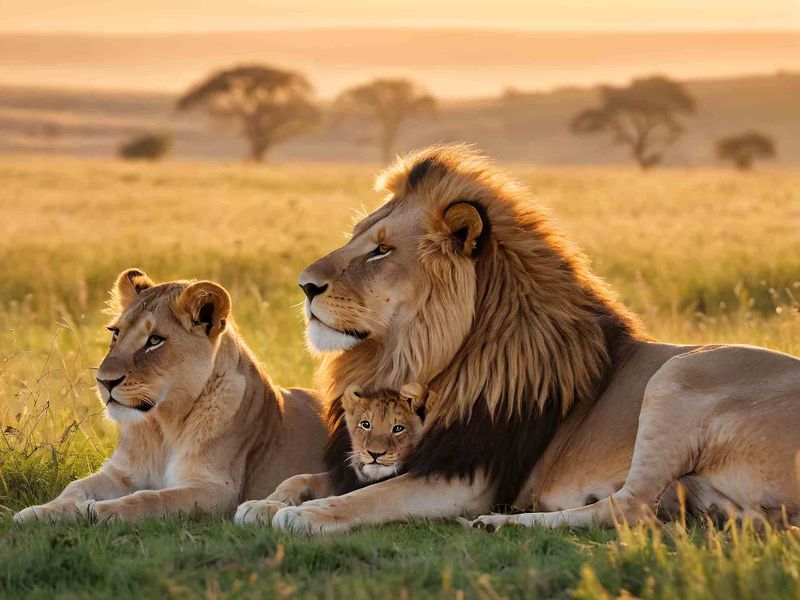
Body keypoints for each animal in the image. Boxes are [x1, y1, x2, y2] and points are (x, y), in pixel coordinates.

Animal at [13, 269, 328, 523]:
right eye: (115, 333)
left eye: (154, 340)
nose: (104, 381)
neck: (162, 426)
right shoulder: (119, 473)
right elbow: (75, 487)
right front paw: (39, 512)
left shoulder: (215, 488)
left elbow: (151, 498)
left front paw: (100, 510)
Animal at [234, 383, 428, 524]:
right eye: (366, 424)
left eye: (398, 429)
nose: (375, 454)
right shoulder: (343, 477)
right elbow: (297, 478)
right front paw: (263, 504)